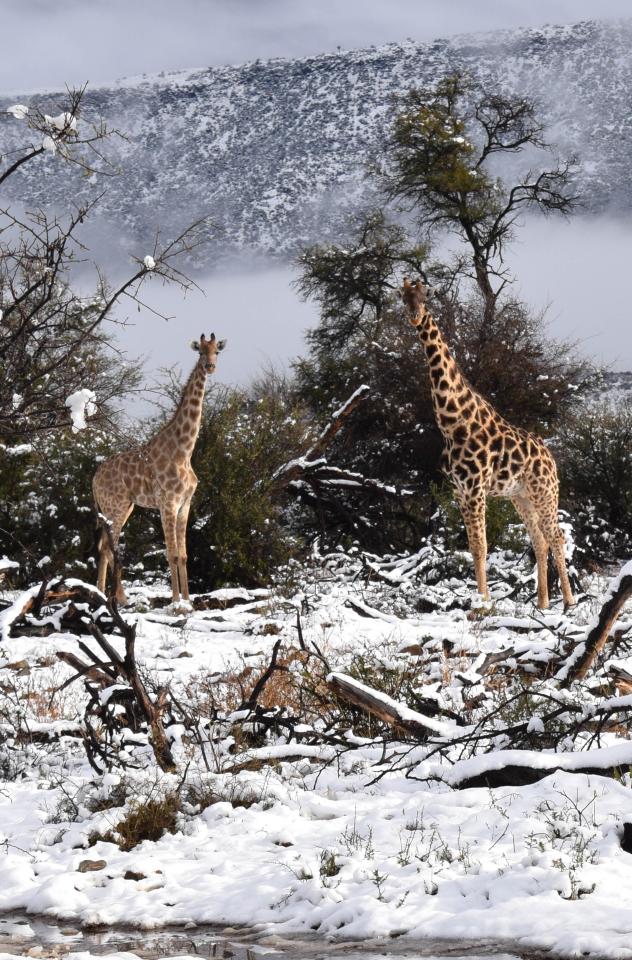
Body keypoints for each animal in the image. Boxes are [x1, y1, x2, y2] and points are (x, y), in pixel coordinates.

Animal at [91, 330, 225, 600]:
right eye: (200, 351)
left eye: (217, 350)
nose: (210, 366)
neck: (184, 451)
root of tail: (94, 479)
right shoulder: (167, 502)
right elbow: (170, 553)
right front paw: (175, 602)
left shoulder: (185, 504)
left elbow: (183, 555)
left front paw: (188, 600)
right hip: (115, 506)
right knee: (110, 548)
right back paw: (118, 598)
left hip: (125, 506)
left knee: (104, 547)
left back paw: (102, 594)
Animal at [402, 278, 576, 608]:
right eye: (403, 297)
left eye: (426, 295)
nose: (415, 318)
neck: (453, 421)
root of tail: (551, 457)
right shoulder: (459, 491)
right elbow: (473, 546)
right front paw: (480, 600)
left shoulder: (474, 488)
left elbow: (482, 546)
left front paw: (482, 603)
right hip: (520, 497)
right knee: (539, 540)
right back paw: (542, 603)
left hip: (546, 493)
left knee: (557, 536)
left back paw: (570, 602)